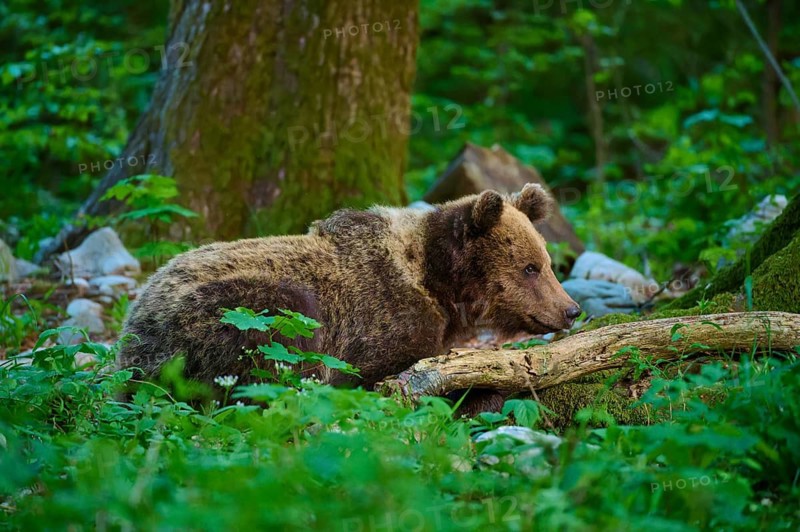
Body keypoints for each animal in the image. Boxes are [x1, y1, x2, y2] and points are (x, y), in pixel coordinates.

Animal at [117, 183, 581, 392]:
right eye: (529, 267)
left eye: (546, 262)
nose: (571, 309)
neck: (439, 284)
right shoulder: (377, 322)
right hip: (232, 311)